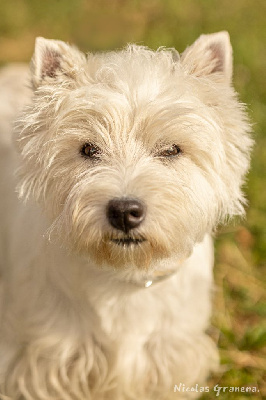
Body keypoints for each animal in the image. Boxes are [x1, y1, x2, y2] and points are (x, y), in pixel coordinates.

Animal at [0, 32, 252, 398]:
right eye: (88, 149)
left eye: (172, 150)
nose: (123, 212)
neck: (124, 277)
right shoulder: (44, 358)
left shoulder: (170, 354)